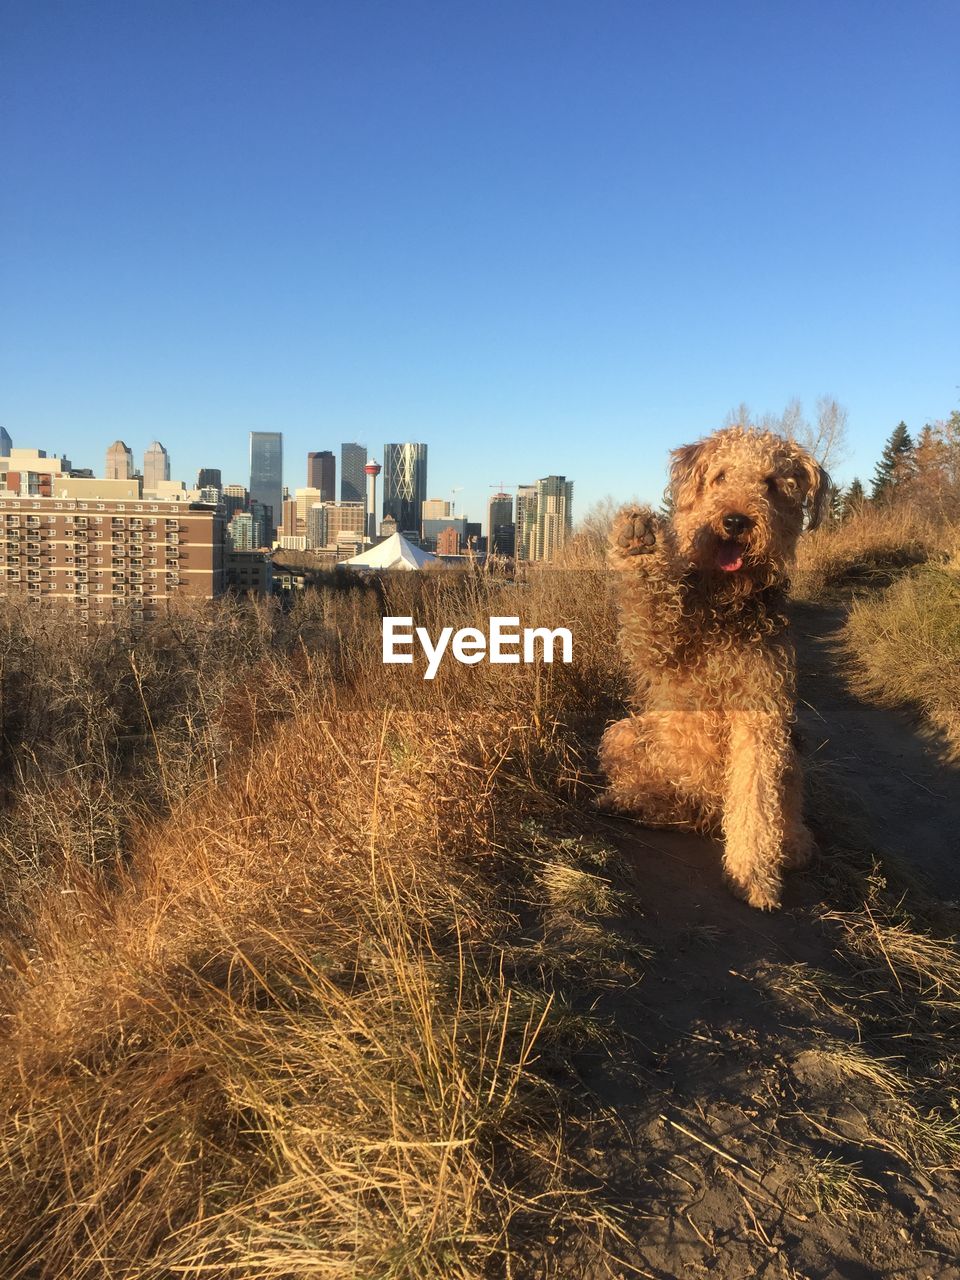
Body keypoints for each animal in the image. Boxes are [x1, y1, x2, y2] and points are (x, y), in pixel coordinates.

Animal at [604, 424, 829, 906]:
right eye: (720, 475)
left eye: (772, 483)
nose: (736, 521)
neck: (726, 602)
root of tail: (703, 810)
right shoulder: (661, 649)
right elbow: (648, 610)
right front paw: (639, 540)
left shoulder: (760, 717)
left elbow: (756, 800)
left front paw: (753, 875)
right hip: (627, 732)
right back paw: (635, 801)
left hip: (791, 750)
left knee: (784, 805)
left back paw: (794, 844)